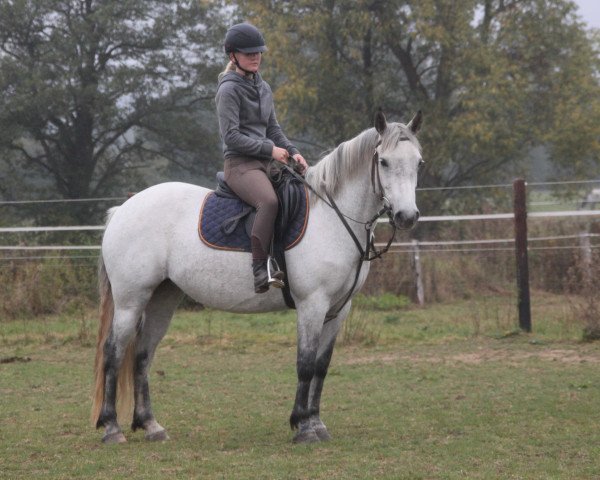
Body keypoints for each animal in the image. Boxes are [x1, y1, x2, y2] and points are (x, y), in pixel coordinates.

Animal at [91, 110, 424, 444]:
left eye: (419, 162)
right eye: (384, 162)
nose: (407, 217)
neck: (333, 216)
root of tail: (124, 209)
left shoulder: (338, 309)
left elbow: (321, 366)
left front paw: (316, 423)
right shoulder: (312, 304)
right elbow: (305, 363)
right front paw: (303, 427)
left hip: (162, 298)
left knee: (142, 355)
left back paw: (151, 425)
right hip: (131, 300)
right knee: (113, 353)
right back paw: (111, 428)